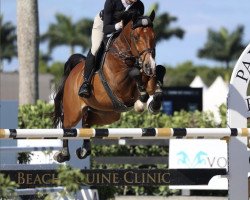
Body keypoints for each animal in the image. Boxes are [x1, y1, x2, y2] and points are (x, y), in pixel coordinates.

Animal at [51, 10, 163, 162]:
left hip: (107, 113)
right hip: (74, 112)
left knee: (87, 121)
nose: (149, 66)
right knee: (66, 125)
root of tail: (74, 70)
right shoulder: (120, 87)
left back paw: (84, 150)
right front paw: (142, 101)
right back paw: (63, 154)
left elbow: (155, 76)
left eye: (154, 36)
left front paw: (154, 104)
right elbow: (134, 73)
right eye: (136, 37)